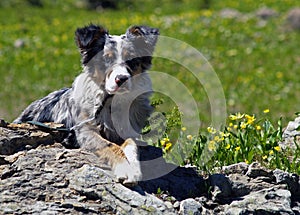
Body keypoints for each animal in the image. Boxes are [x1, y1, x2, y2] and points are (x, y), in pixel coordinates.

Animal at [14, 23, 159, 185]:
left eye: (132, 59)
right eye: (106, 58)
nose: (121, 79)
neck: (110, 102)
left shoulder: (129, 130)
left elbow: (131, 143)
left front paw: (134, 168)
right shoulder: (84, 131)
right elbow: (110, 145)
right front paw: (125, 169)